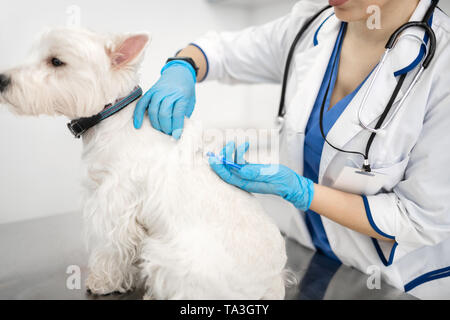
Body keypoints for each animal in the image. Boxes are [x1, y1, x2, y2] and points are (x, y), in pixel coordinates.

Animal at [0, 28, 288, 300]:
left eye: (56, 61)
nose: (2, 80)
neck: (109, 115)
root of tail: (273, 281)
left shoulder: (113, 203)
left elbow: (110, 247)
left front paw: (103, 282)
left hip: (174, 257)